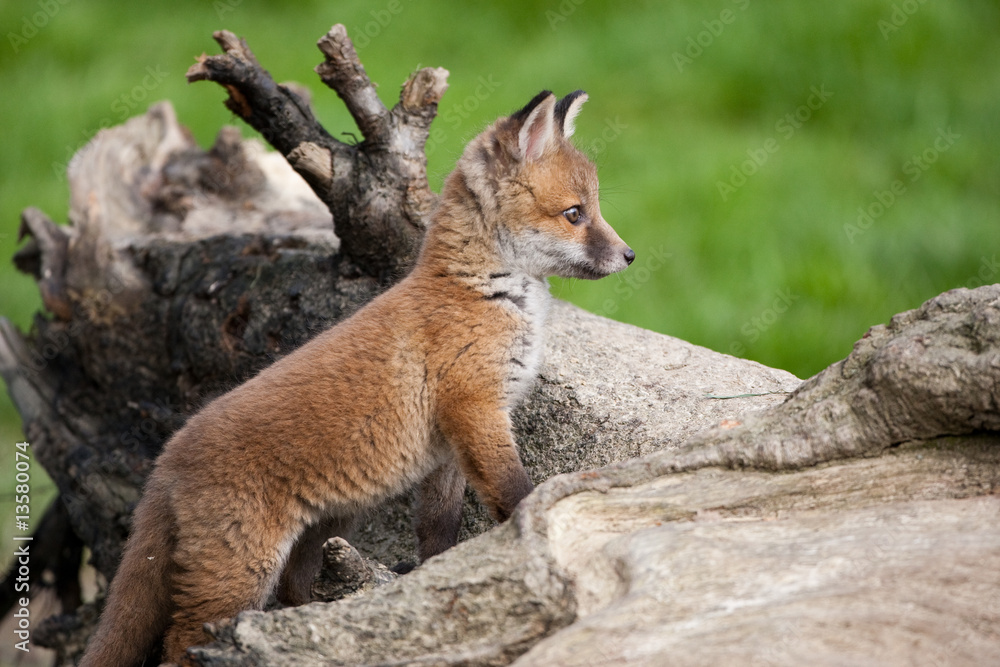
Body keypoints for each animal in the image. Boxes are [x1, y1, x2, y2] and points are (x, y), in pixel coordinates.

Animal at [82, 90, 636, 667]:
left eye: (594, 209)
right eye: (574, 214)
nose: (629, 255)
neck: (482, 292)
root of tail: (167, 457)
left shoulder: (452, 445)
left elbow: (437, 528)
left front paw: (438, 573)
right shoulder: (477, 409)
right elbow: (515, 491)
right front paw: (533, 528)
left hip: (319, 535)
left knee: (293, 593)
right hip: (237, 572)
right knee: (179, 644)